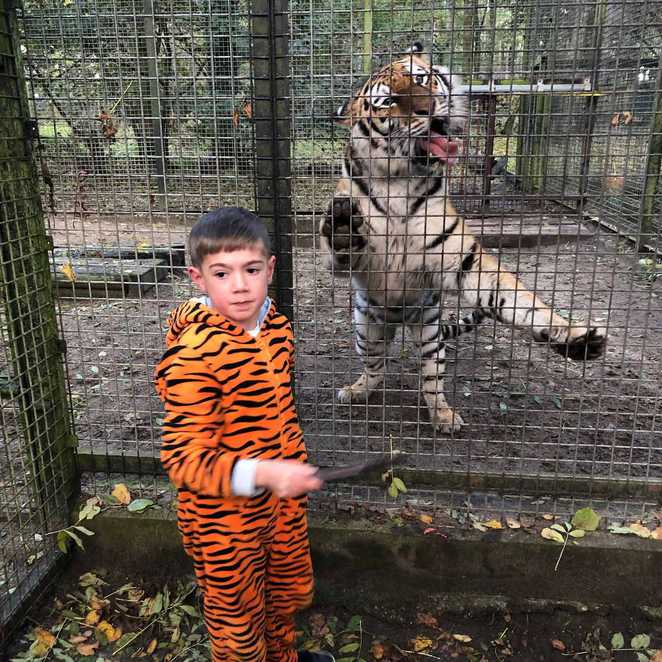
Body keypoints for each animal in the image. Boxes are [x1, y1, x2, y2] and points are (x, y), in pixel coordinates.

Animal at [322, 42, 608, 436]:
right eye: (388, 101)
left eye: (421, 79)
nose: (428, 109)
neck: (398, 179)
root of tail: (397, 320)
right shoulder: (354, 261)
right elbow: (345, 243)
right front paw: (344, 222)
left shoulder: (462, 260)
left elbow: (519, 300)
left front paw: (574, 337)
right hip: (366, 328)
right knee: (375, 367)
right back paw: (357, 390)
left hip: (430, 334)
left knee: (431, 382)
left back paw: (444, 416)